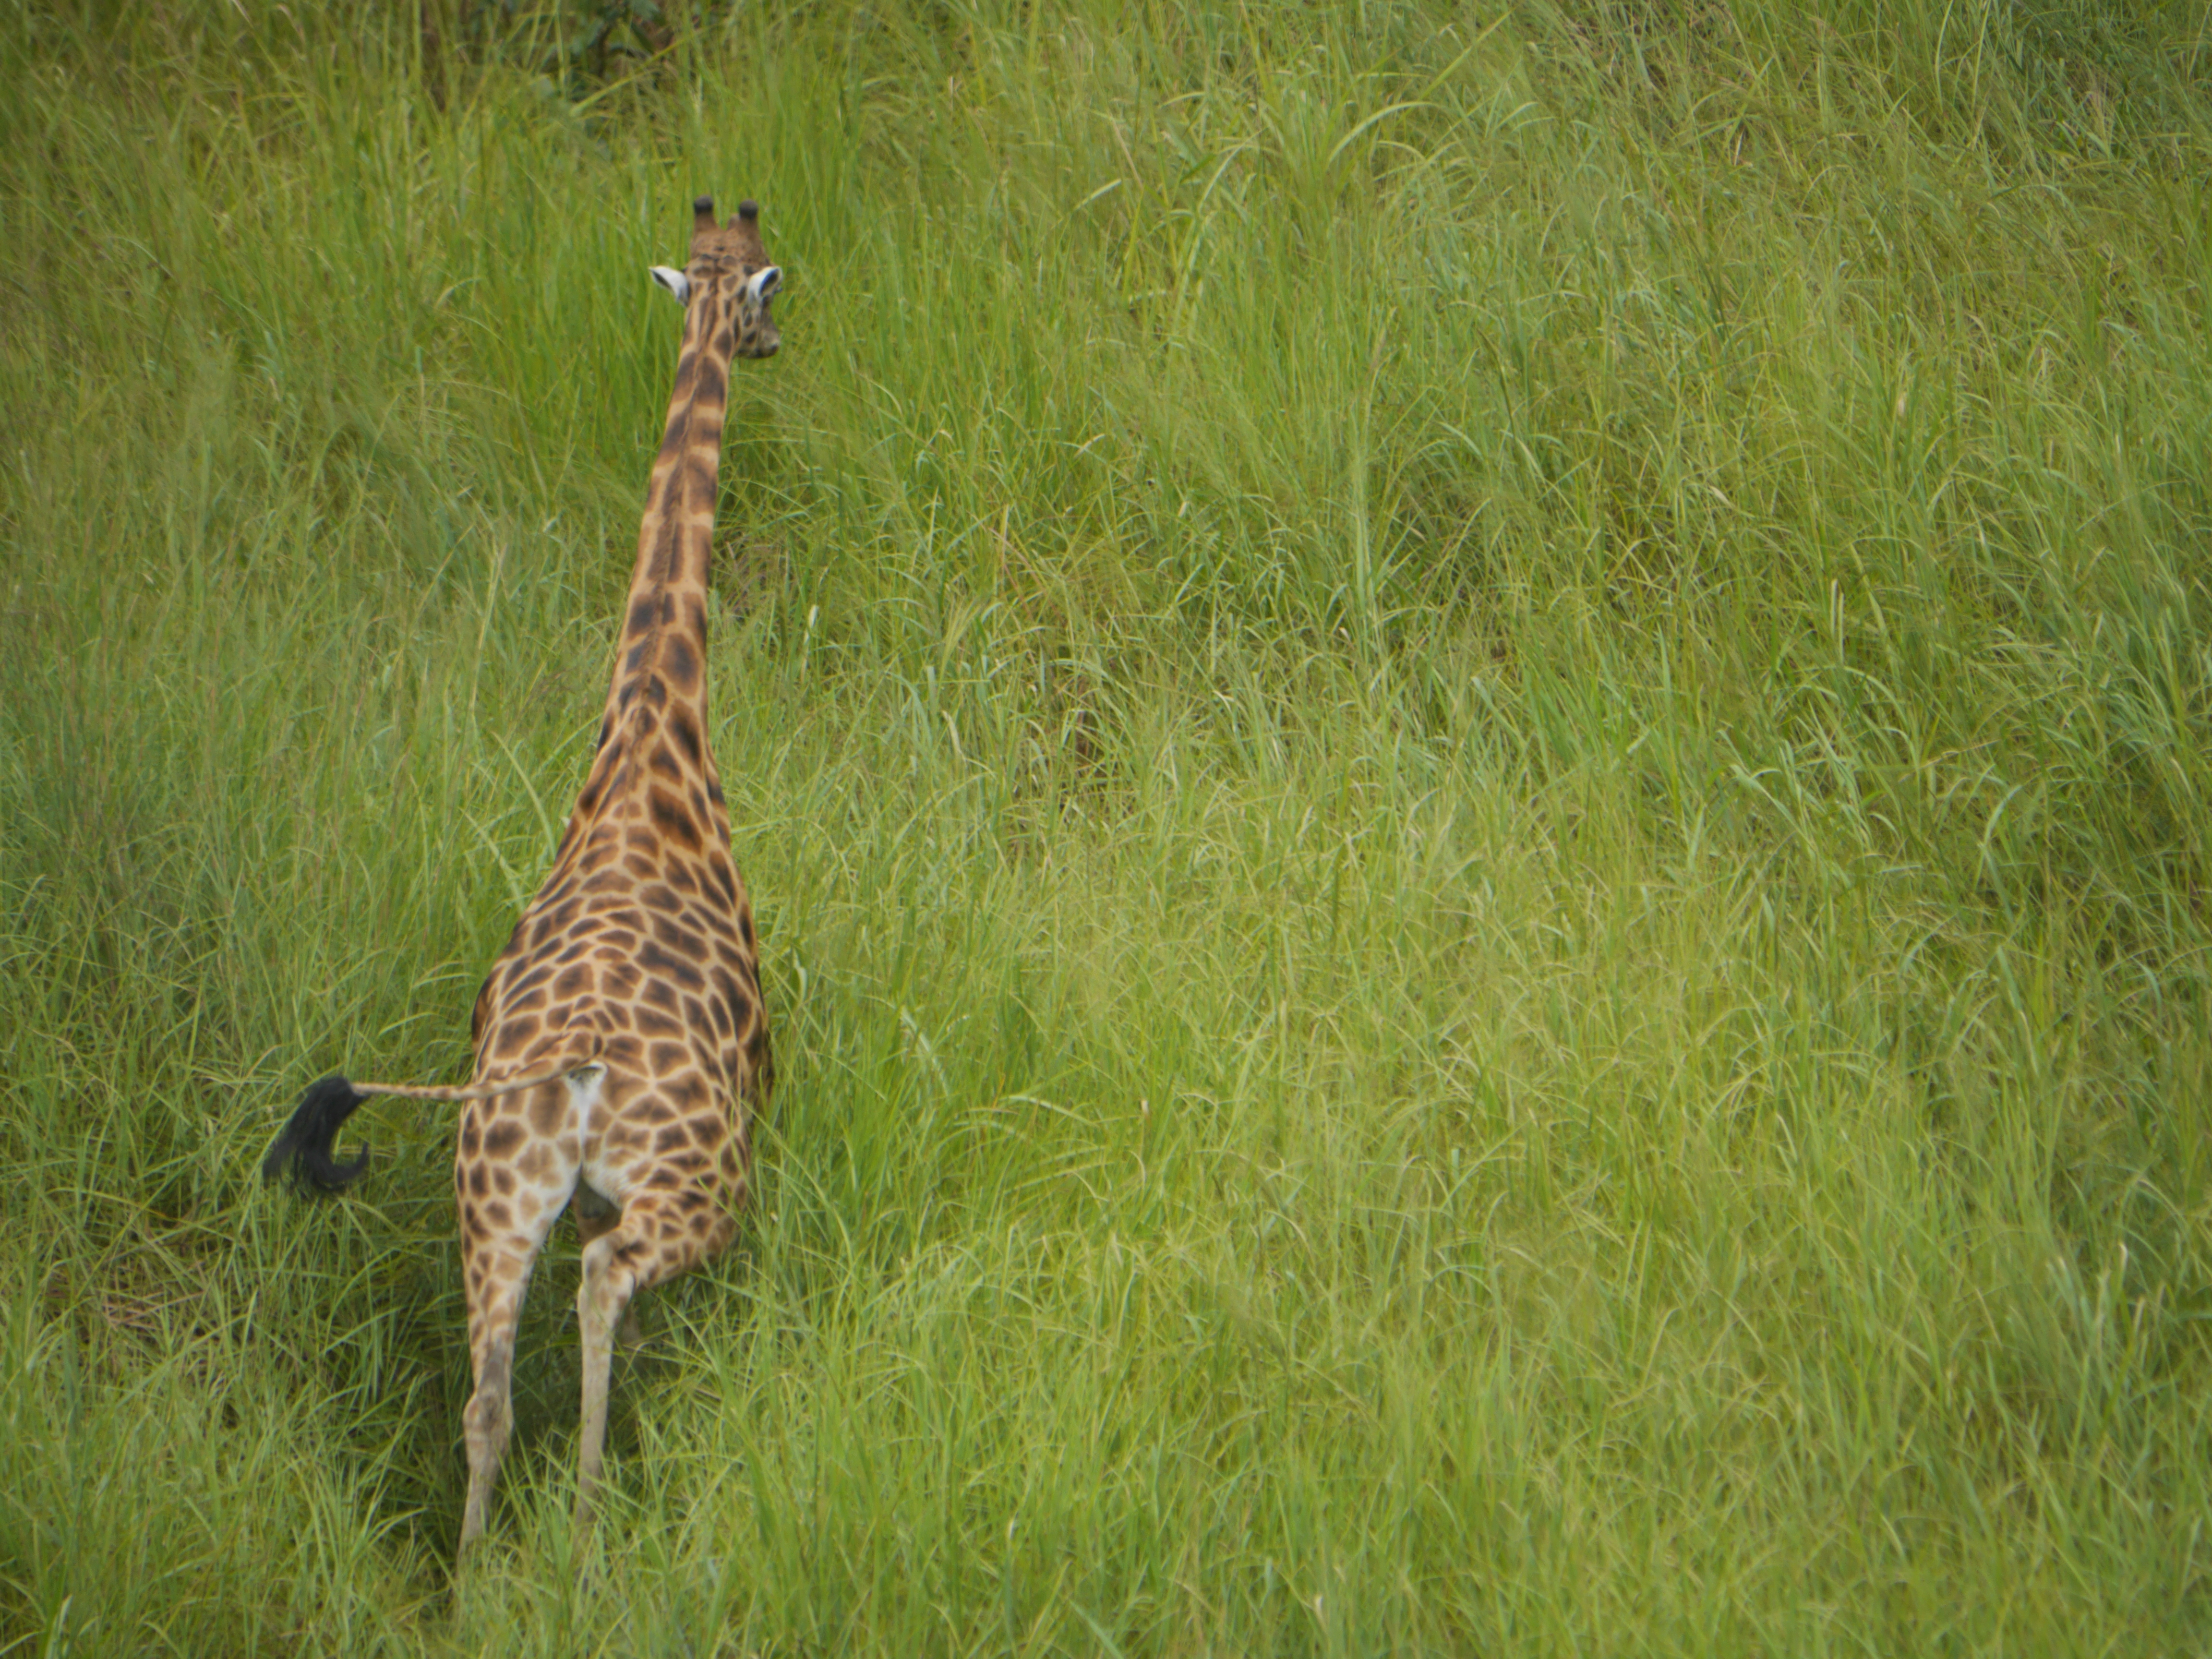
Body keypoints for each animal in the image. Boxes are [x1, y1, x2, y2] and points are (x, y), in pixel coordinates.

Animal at [262, 193, 783, 1553]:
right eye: (774, 287)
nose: (766, 344)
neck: (652, 724)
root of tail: (575, 1066)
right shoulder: (761, 1078)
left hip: (491, 1197)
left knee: (485, 1398)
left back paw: (478, 1570)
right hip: (693, 1183)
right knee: (599, 1289)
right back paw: (593, 1526)